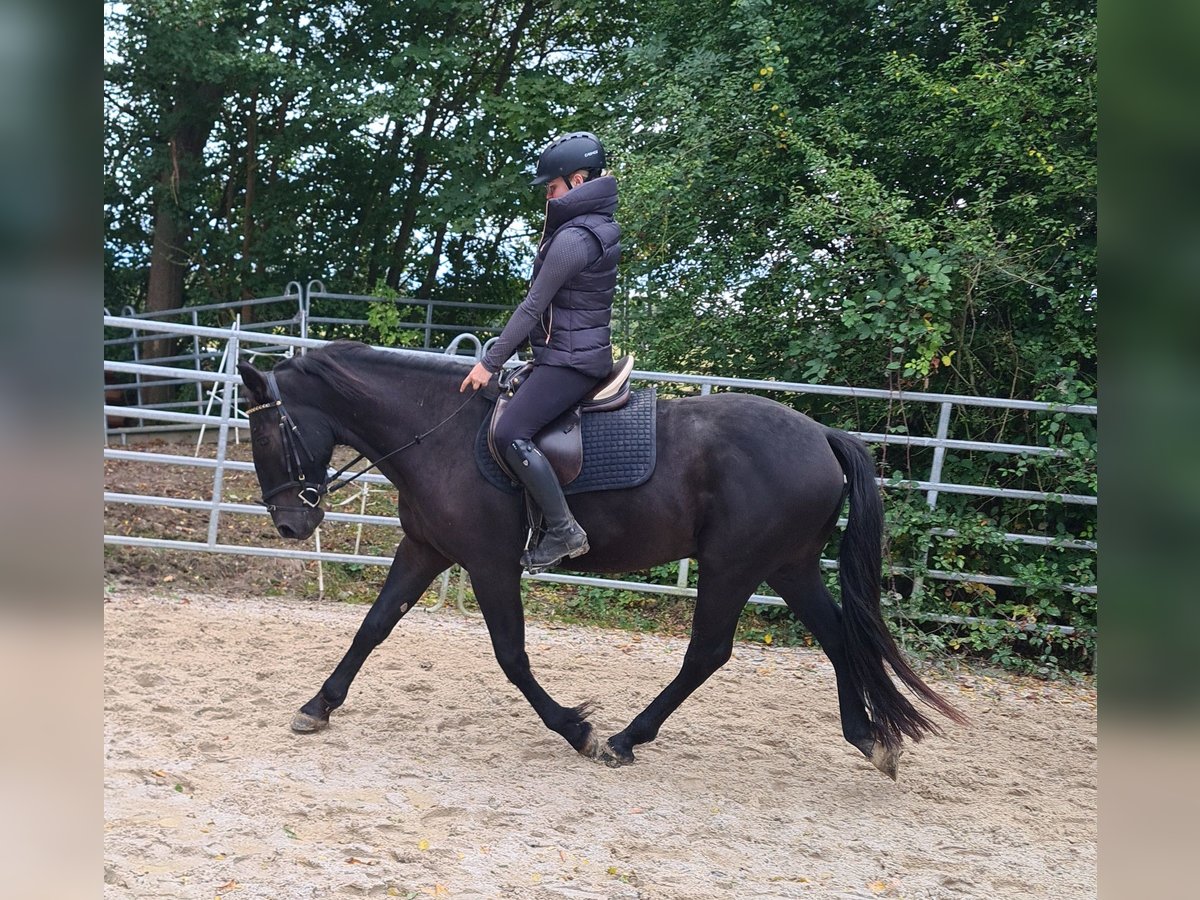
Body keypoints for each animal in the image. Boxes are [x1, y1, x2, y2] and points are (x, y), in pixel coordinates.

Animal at [236, 340, 964, 777]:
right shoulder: (426, 549)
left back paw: (623, 740)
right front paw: (318, 706)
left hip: (734, 566)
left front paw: (576, 728)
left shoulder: (489, 563)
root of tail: (821, 435)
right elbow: (374, 626)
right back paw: (869, 738)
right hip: (789, 566)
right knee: (837, 638)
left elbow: (511, 655)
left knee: (708, 653)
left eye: (266, 432)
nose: (290, 523)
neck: (436, 433)